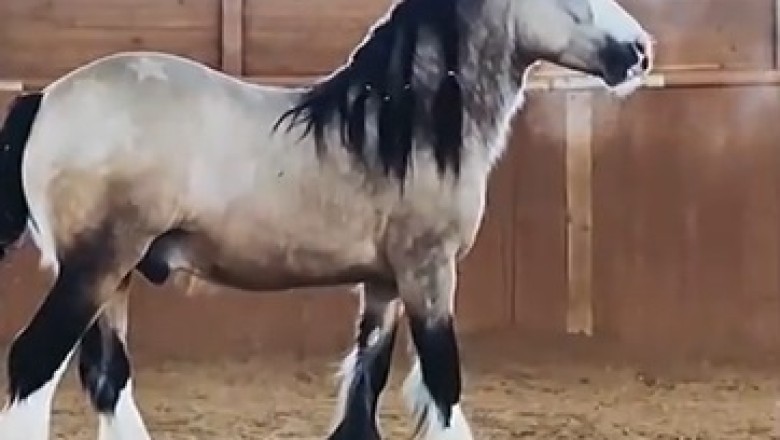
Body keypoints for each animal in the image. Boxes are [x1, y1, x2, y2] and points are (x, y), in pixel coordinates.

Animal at [0, 0, 653, 438]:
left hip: (114, 276)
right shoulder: (428, 272)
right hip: (95, 267)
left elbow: (367, 387)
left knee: (107, 379)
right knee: (33, 366)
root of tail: (46, 98)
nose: (640, 51)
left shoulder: (384, 284)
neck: (397, 129)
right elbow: (443, 384)